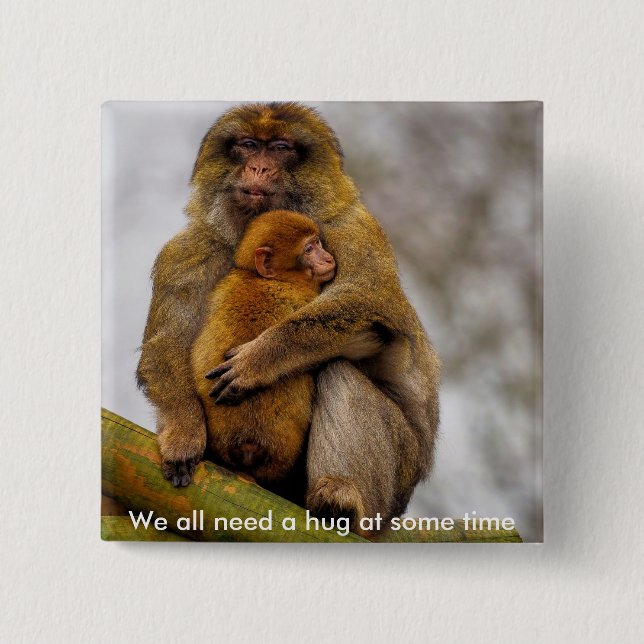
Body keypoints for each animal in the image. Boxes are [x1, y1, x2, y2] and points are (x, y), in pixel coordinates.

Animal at [190, 210, 336, 499]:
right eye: (309, 249)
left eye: (318, 243)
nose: (326, 257)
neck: (270, 279)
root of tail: (248, 443)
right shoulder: (303, 297)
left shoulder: (227, 282)